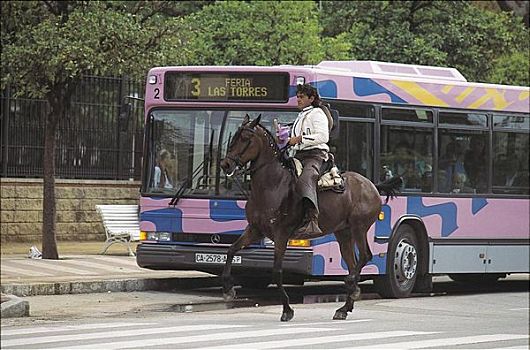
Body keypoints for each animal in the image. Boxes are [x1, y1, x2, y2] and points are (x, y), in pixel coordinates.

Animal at [220, 115, 400, 322]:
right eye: (234, 136)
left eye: (245, 138)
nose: (225, 164)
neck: (272, 185)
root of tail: (371, 185)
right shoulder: (255, 230)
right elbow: (231, 250)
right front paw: (228, 289)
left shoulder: (281, 234)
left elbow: (277, 271)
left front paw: (287, 309)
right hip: (343, 233)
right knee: (353, 262)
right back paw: (344, 307)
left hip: (359, 228)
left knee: (365, 256)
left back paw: (351, 287)